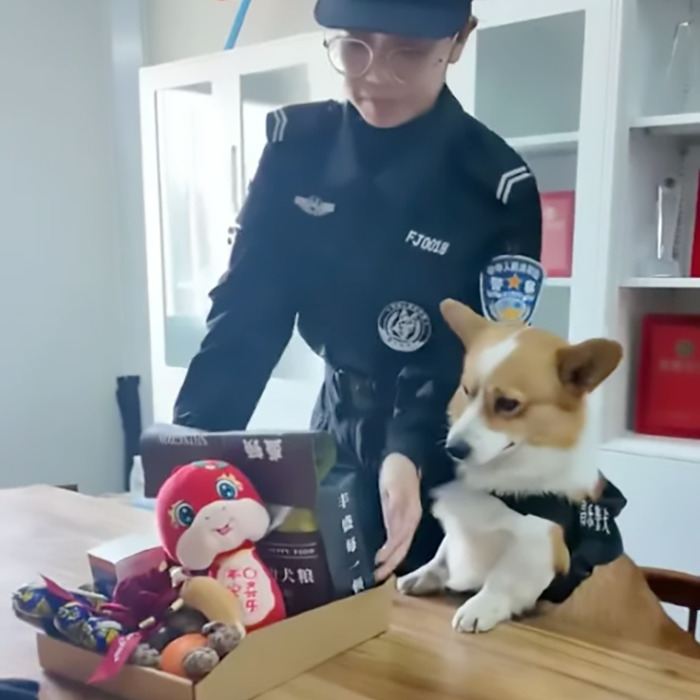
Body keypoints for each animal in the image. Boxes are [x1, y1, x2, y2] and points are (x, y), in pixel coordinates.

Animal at [396, 300, 700, 656]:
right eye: (467, 391)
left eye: (508, 404)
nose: (454, 449)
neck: (502, 484)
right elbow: (443, 555)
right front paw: (421, 575)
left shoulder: (536, 548)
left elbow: (502, 582)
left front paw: (478, 607)